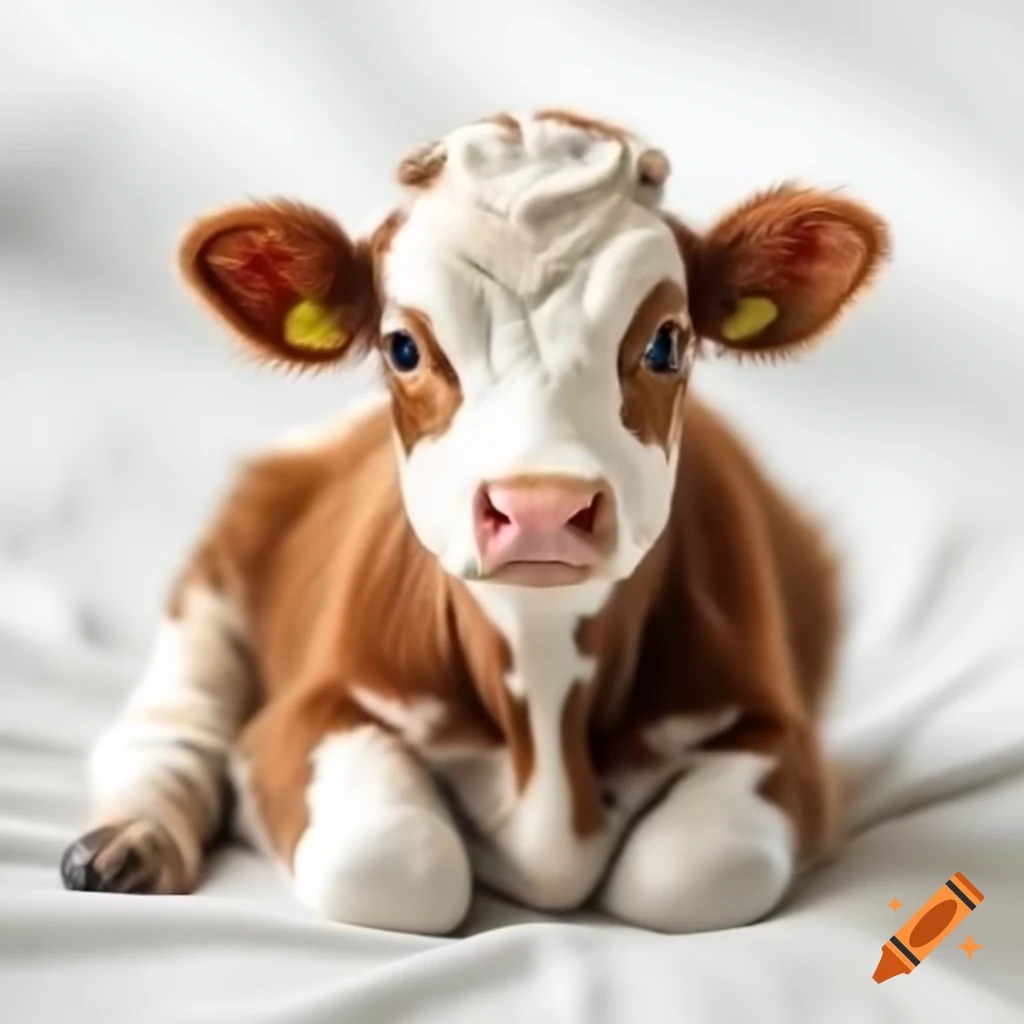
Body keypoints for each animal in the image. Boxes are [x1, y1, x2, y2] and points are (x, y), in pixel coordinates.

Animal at [59, 110, 889, 935]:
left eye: (666, 343)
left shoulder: (780, 737)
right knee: (168, 728)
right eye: (403, 347)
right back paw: (129, 842)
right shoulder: (309, 715)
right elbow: (394, 862)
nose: (541, 508)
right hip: (221, 570)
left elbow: (688, 871)